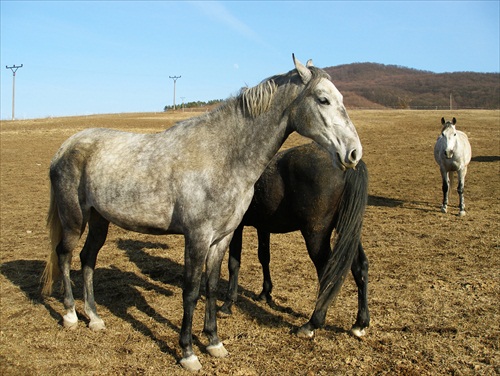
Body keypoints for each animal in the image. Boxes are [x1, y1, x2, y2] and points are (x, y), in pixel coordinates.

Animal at [221, 142, 370, 340]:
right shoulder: (263, 225)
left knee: (327, 273)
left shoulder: (237, 227)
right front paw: (265, 293)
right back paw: (360, 323)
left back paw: (312, 323)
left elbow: (234, 263)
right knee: (360, 267)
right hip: (348, 231)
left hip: (316, 236)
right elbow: (264, 257)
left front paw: (228, 303)